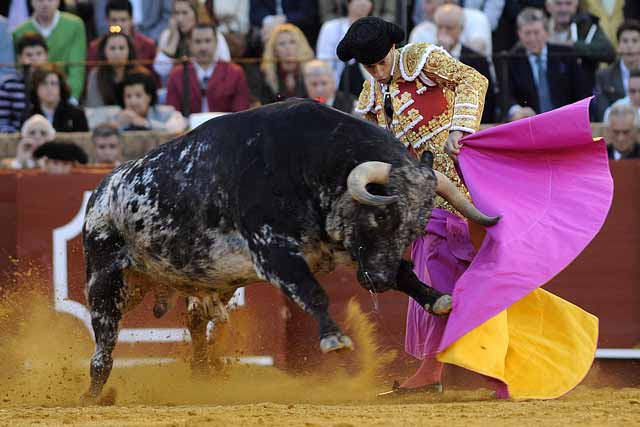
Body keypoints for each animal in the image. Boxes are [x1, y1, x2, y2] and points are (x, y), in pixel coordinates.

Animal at [81, 98, 500, 402]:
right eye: (381, 216)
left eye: (416, 227)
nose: (377, 283)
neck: (308, 164)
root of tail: (103, 189)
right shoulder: (273, 252)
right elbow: (312, 292)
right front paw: (334, 339)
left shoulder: (350, 249)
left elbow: (405, 273)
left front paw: (438, 299)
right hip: (106, 278)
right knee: (104, 342)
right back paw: (92, 396)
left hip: (204, 282)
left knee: (196, 325)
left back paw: (202, 379)